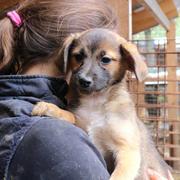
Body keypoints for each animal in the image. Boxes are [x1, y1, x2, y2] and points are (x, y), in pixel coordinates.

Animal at [32, 28, 170, 180]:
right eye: (78, 56)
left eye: (105, 60)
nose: (83, 80)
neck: (95, 102)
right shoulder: (81, 125)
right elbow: (70, 115)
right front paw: (51, 108)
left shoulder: (127, 151)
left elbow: (117, 176)